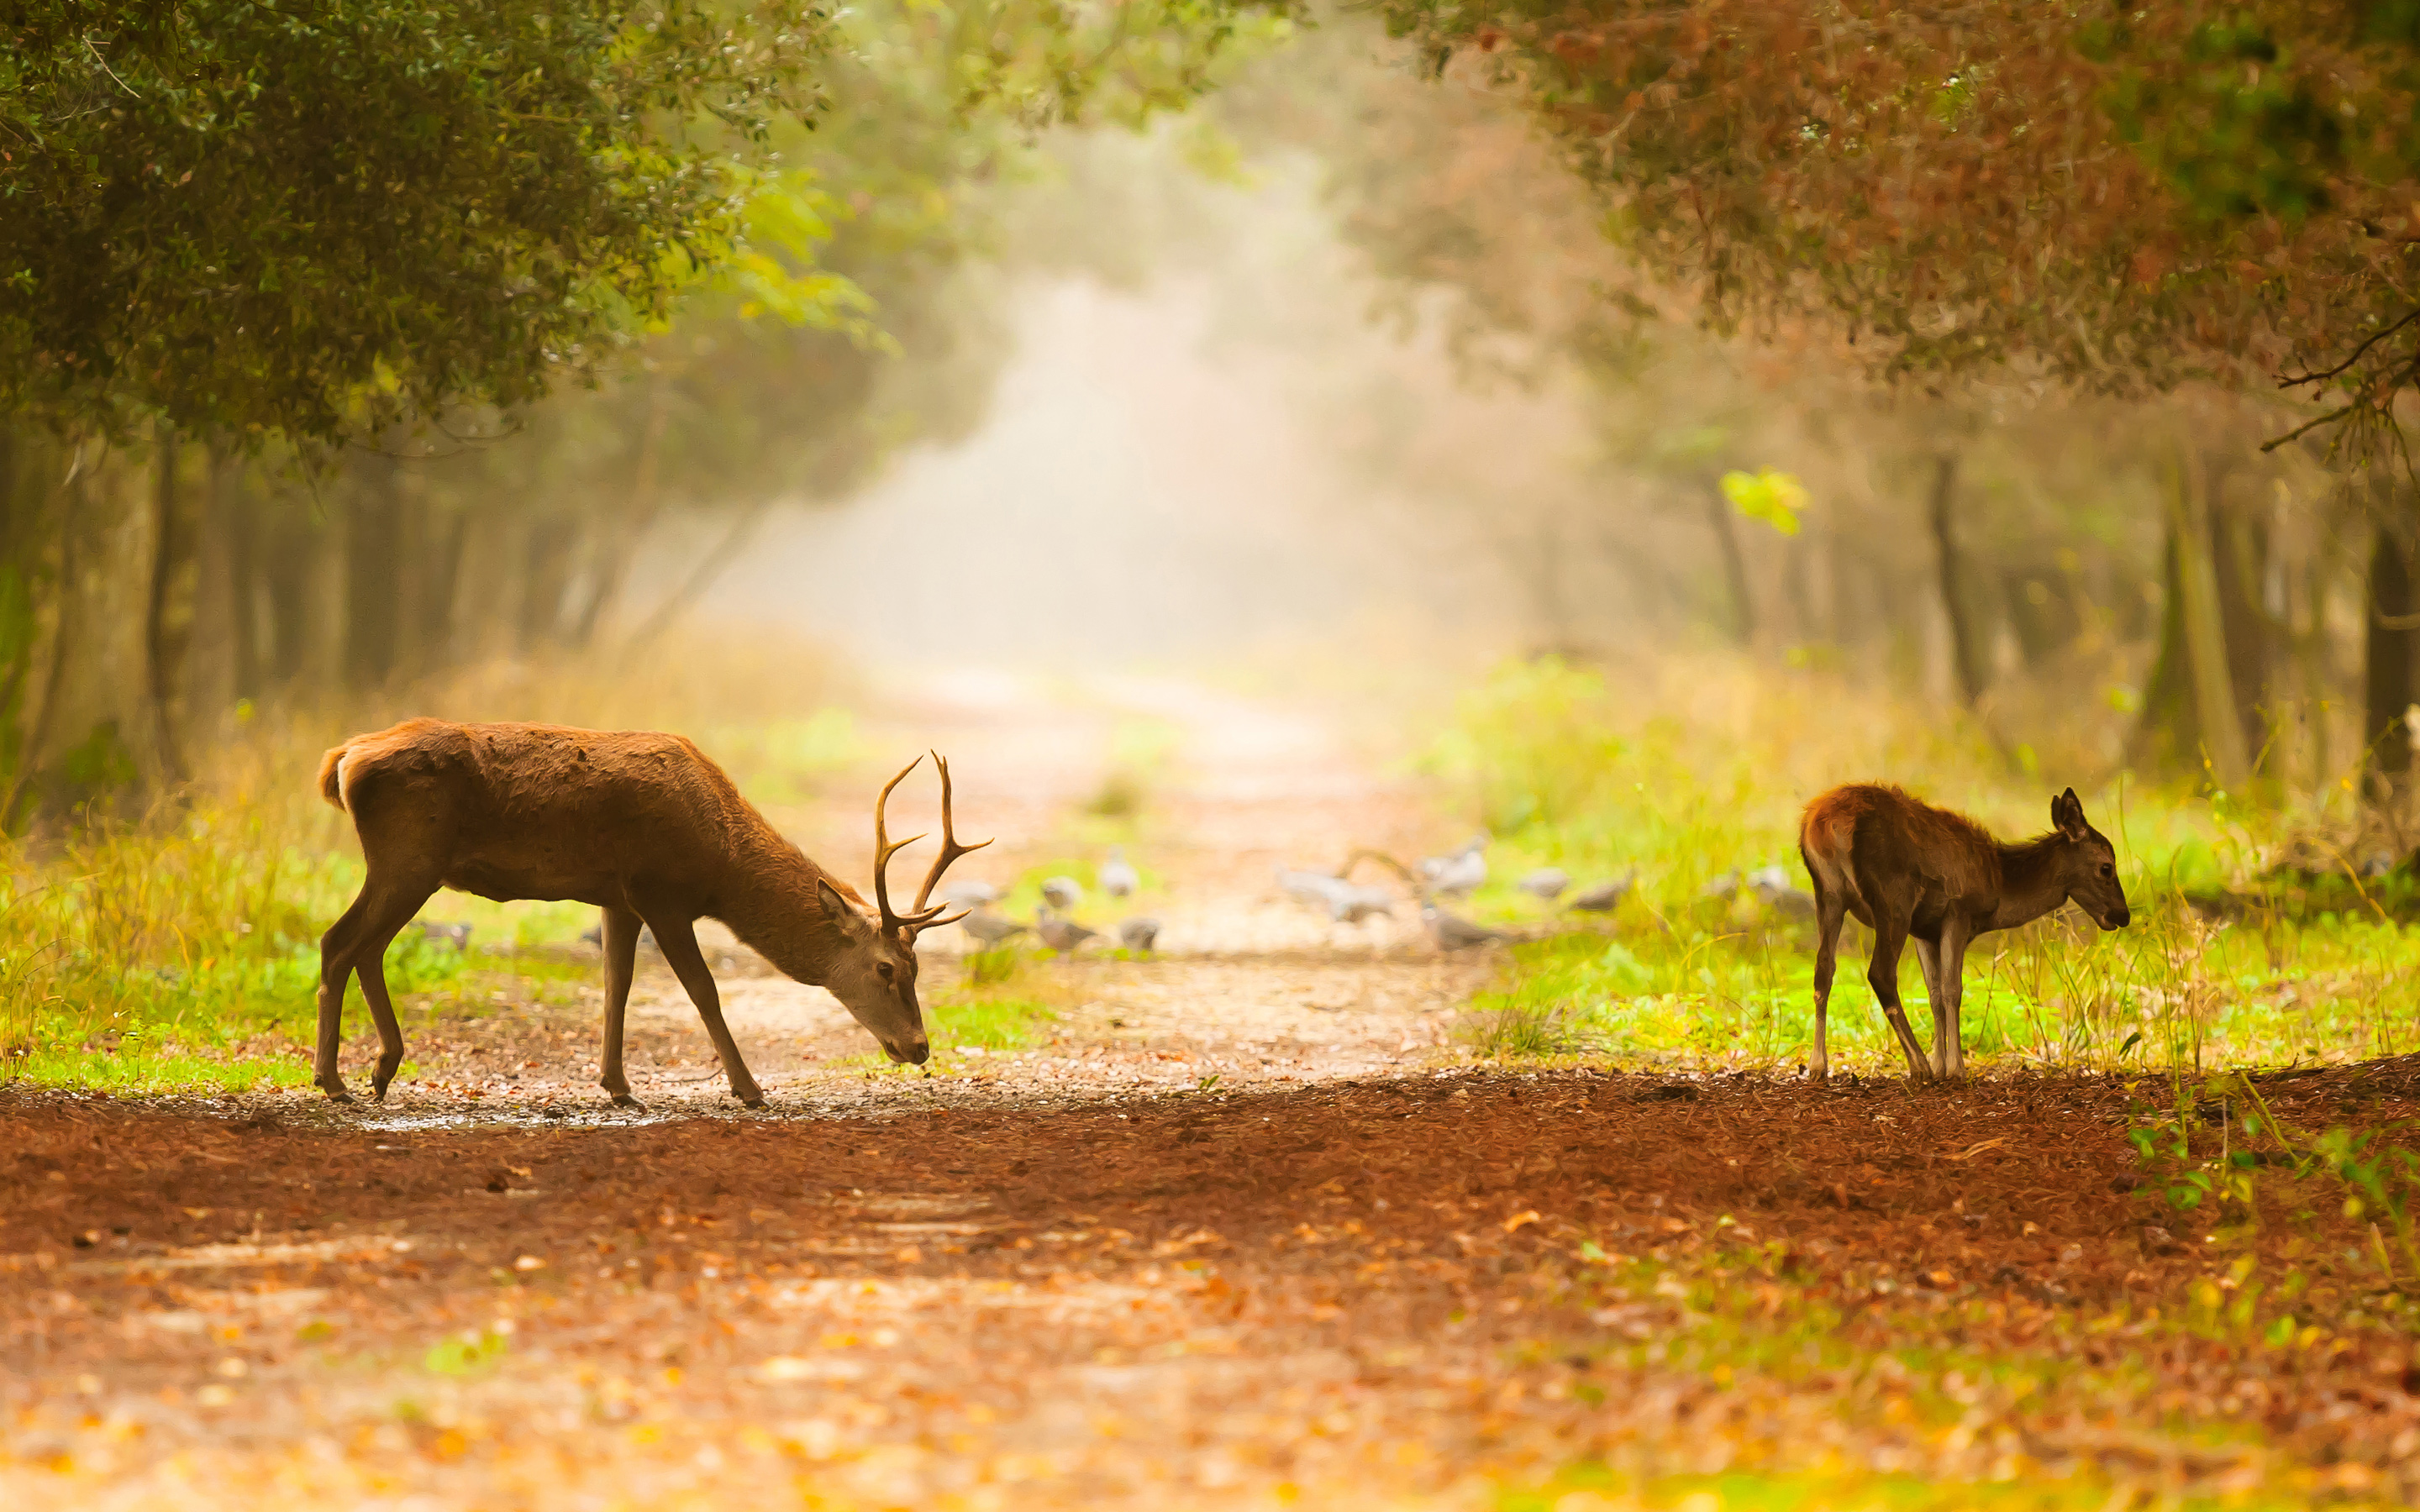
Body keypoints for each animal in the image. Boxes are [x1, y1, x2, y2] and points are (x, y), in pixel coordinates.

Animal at [317, 721, 987, 1108]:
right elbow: (703, 990)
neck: (719, 865)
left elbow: (617, 984)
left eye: (920, 970)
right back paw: (335, 1080)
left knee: (363, 947)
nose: (920, 1046)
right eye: (886, 969)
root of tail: (342, 760)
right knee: (339, 942)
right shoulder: (660, 891)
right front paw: (749, 1090)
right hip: (409, 856)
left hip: (408, 865)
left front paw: (618, 1087)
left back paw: (380, 1070)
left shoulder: (618, 897)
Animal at [1800, 784, 2139, 1079]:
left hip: (1828, 893)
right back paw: (1919, 1066)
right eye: (2106, 867)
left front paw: (1942, 1065)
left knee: (1824, 968)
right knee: (1880, 973)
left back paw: (1818, 1067)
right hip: (1893, 897)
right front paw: (1955, 1069)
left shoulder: (1924, 930)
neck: (1999, 883)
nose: (2122, 914)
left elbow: (1934, 993)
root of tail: (1824, 824)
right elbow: (1953, 990)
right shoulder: (1958, 913)